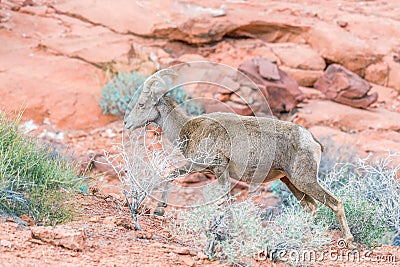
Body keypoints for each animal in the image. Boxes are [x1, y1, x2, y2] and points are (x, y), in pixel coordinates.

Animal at [123, 69, 354, 249]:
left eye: (141, 104)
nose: (126, 123)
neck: (187, 129)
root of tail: (312, 140)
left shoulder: (212, 168)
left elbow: (219, 199)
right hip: (290, 182)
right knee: (311, 207)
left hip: (304, 180)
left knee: (335, 203)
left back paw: (349, 242)